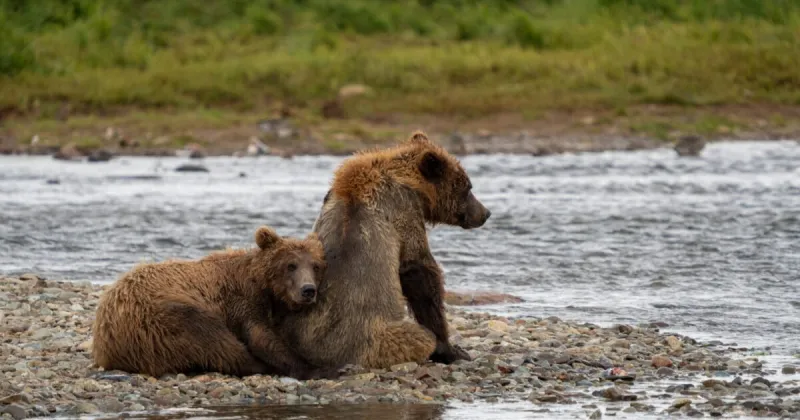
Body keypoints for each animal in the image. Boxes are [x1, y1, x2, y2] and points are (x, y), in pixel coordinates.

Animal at [91, 225, 334, 379]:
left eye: (315, 266)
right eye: (291, 265)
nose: (308, 290)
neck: (263, 285)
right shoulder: (239, 300)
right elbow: (261, 336)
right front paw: (315, 369)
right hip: (160, 315)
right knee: (214, 338)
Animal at [284, 130, 491, 369]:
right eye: (468, 187)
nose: (485, 213)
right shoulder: (404, 214)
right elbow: (419, 270)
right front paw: (452, 349)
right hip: (374, 338)